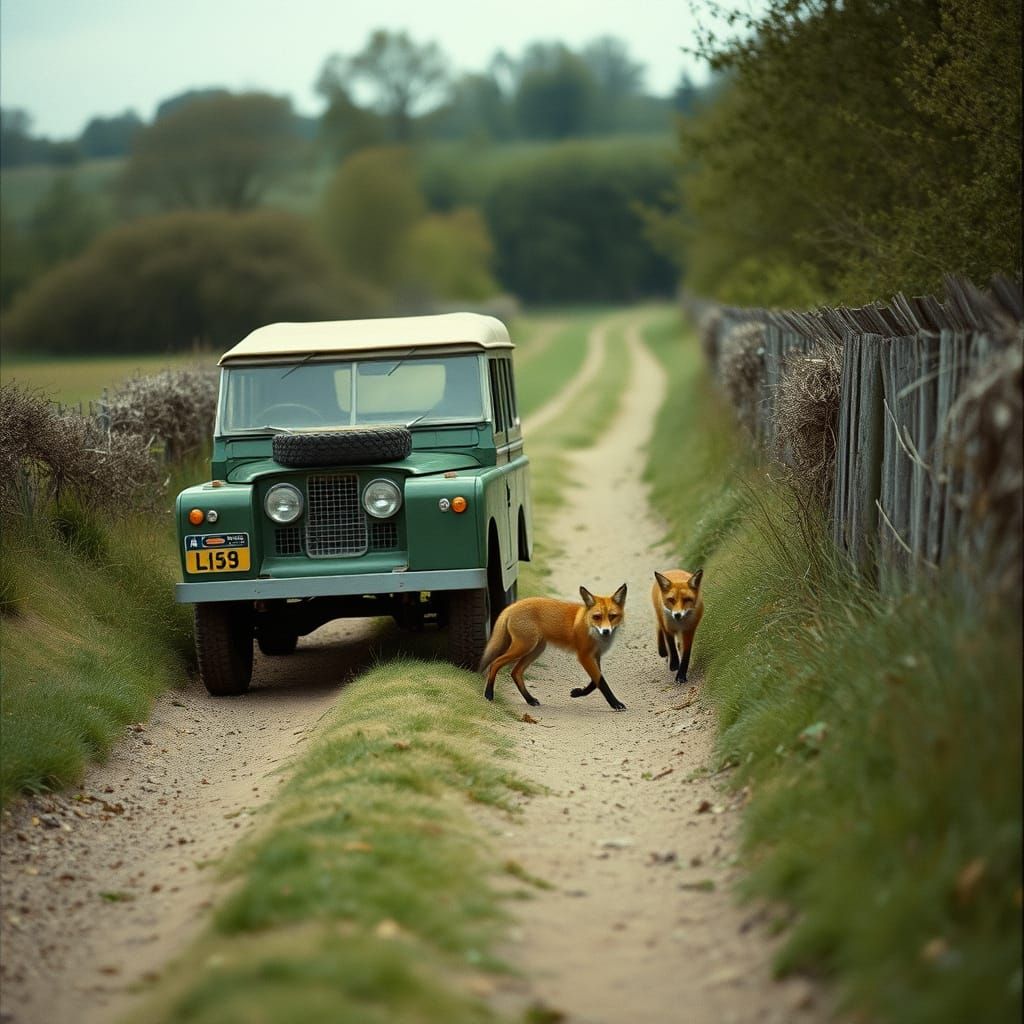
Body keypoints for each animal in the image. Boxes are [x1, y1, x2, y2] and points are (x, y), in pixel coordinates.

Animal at [480, 584, 628, 711]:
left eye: (612, 616)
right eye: (597, 617)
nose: (606, 631)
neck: (590, 628)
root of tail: (511, 606)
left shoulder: (596, 656)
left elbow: (594, 682)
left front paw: (577, 693)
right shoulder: (584, 656)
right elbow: (601, 681)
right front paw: (615, 703)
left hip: (536, 650)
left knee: (515, 672)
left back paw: (530, 699)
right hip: (524, 647)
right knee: (495, 663)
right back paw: (488, 694)